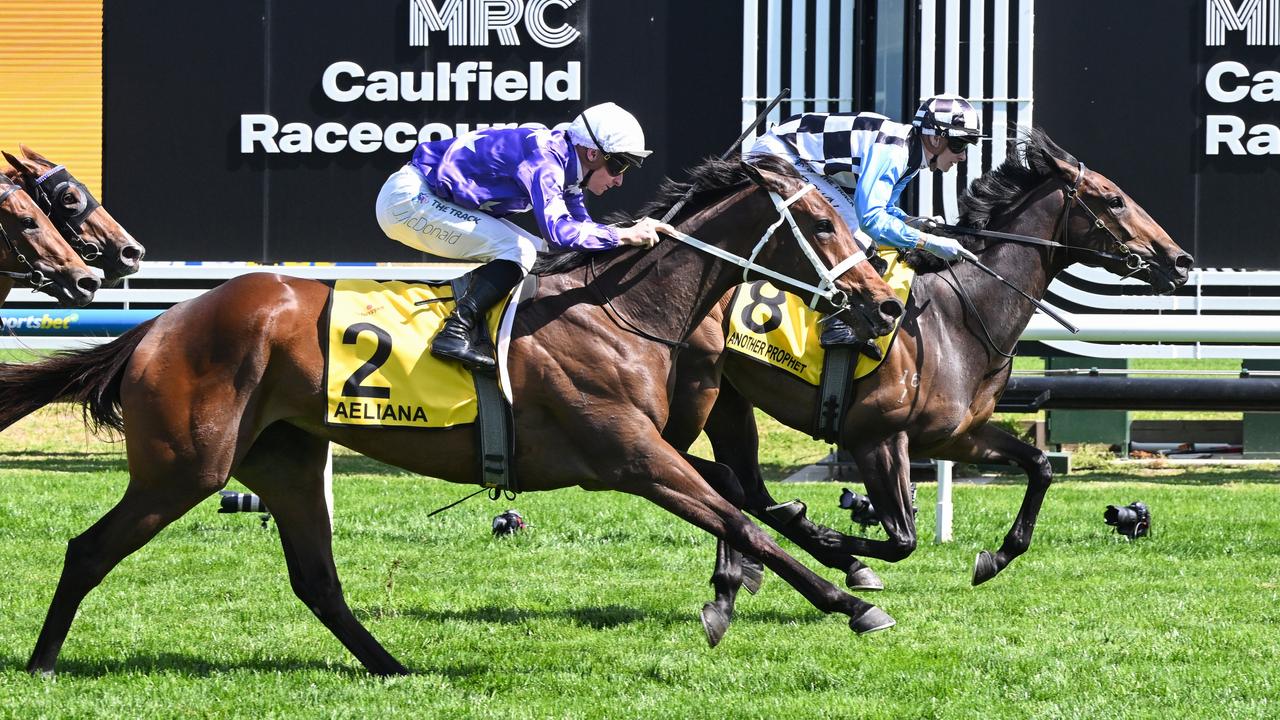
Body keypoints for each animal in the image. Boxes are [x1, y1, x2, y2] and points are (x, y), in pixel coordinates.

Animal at [665, 126, 1192, 640]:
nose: (1180, 260)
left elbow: (1039, 466)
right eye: (1115, 199)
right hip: (696, 398)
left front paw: (995, 557)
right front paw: (829, 540)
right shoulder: (877, 438)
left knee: (742, 484)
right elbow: (903, 539)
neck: (959, 317)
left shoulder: (956, 436)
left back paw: (745, 575)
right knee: (715, 476)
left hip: (729, 402)